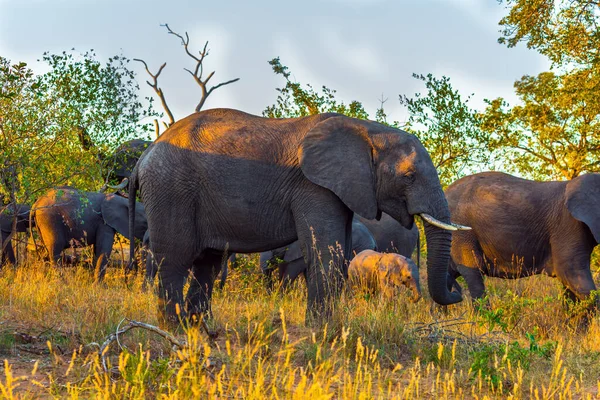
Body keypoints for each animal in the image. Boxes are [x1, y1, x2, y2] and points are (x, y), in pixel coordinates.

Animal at [129, 108, 468, 324]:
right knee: (175, 257)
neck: (368, 131)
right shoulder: (313, 186)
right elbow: (325, 251)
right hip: (171, 188)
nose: (457, 292)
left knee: (207, 263)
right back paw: (173, 327)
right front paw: (321, 331)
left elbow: (340, 251)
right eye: (409, 177)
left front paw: (331, 328)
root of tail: (144, 156)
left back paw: (199, 326)